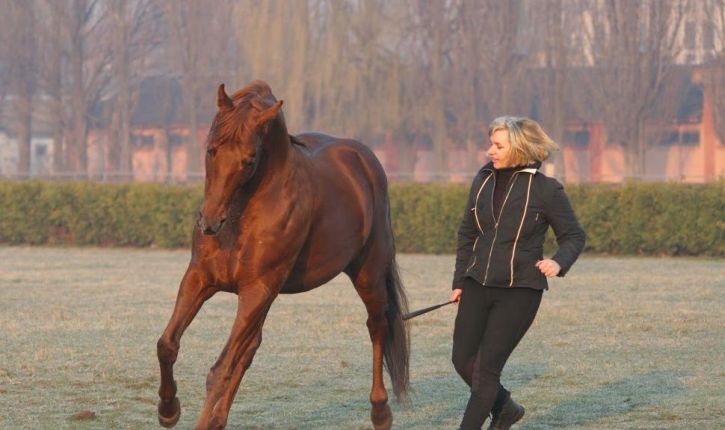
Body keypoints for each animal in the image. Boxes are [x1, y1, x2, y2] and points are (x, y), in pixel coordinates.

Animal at [156, 81, 410, 430]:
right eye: (211, 150)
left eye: (249, 160)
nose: (209, 222)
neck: (243, 215)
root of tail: (364, 162)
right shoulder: (201, 278)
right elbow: (168, 345)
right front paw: (168, 410)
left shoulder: (256, 290)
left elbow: (220, 370)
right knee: (249, 349)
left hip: (367, 276)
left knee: (377, 326)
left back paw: (380, 411)